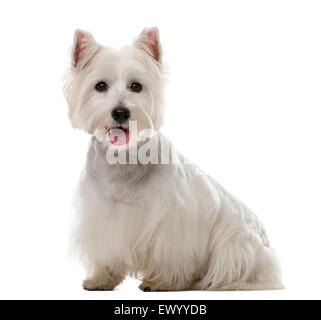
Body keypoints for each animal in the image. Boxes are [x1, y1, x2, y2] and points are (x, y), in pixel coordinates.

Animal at [63, 27, 282, 292]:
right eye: (100, 86)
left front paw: (162, 281)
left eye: (136, 86)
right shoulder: (101, 214)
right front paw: (100, 279)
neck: (124, 159)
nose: (121, 112)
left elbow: (169, 254)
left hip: (237, 241)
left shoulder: (171, 221)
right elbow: (106, 250)